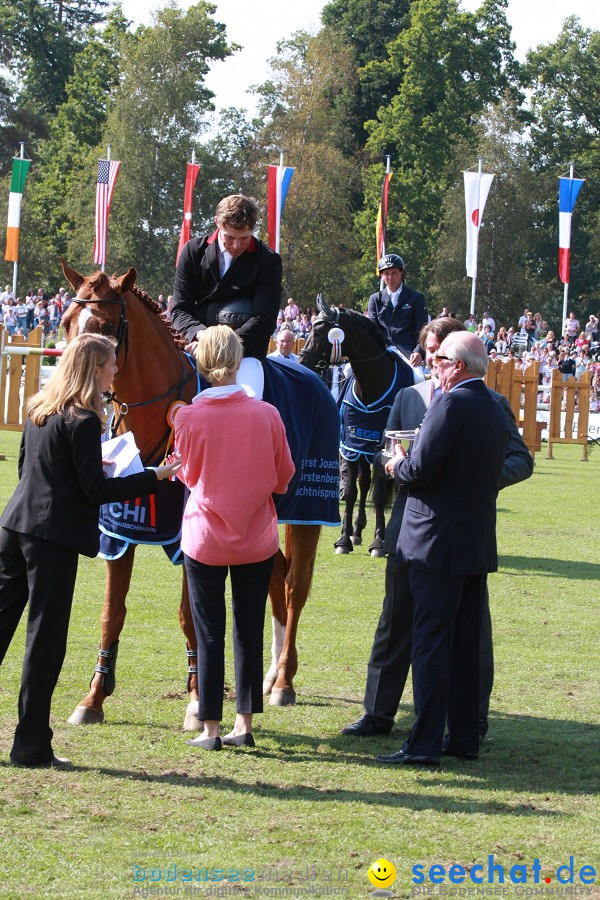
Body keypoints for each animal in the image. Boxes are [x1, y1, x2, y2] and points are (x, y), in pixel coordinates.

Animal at [59, 258, 324, 724]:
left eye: (107, 327)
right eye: (68, 322)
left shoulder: (192, 537)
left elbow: (190, 615)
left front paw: (199, 698)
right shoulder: (121, 531)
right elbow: (112, 612)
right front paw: (93, 698)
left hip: (307, 512)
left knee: (295, 587)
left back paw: (285, 681)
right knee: (277, 576)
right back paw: (270, 675)